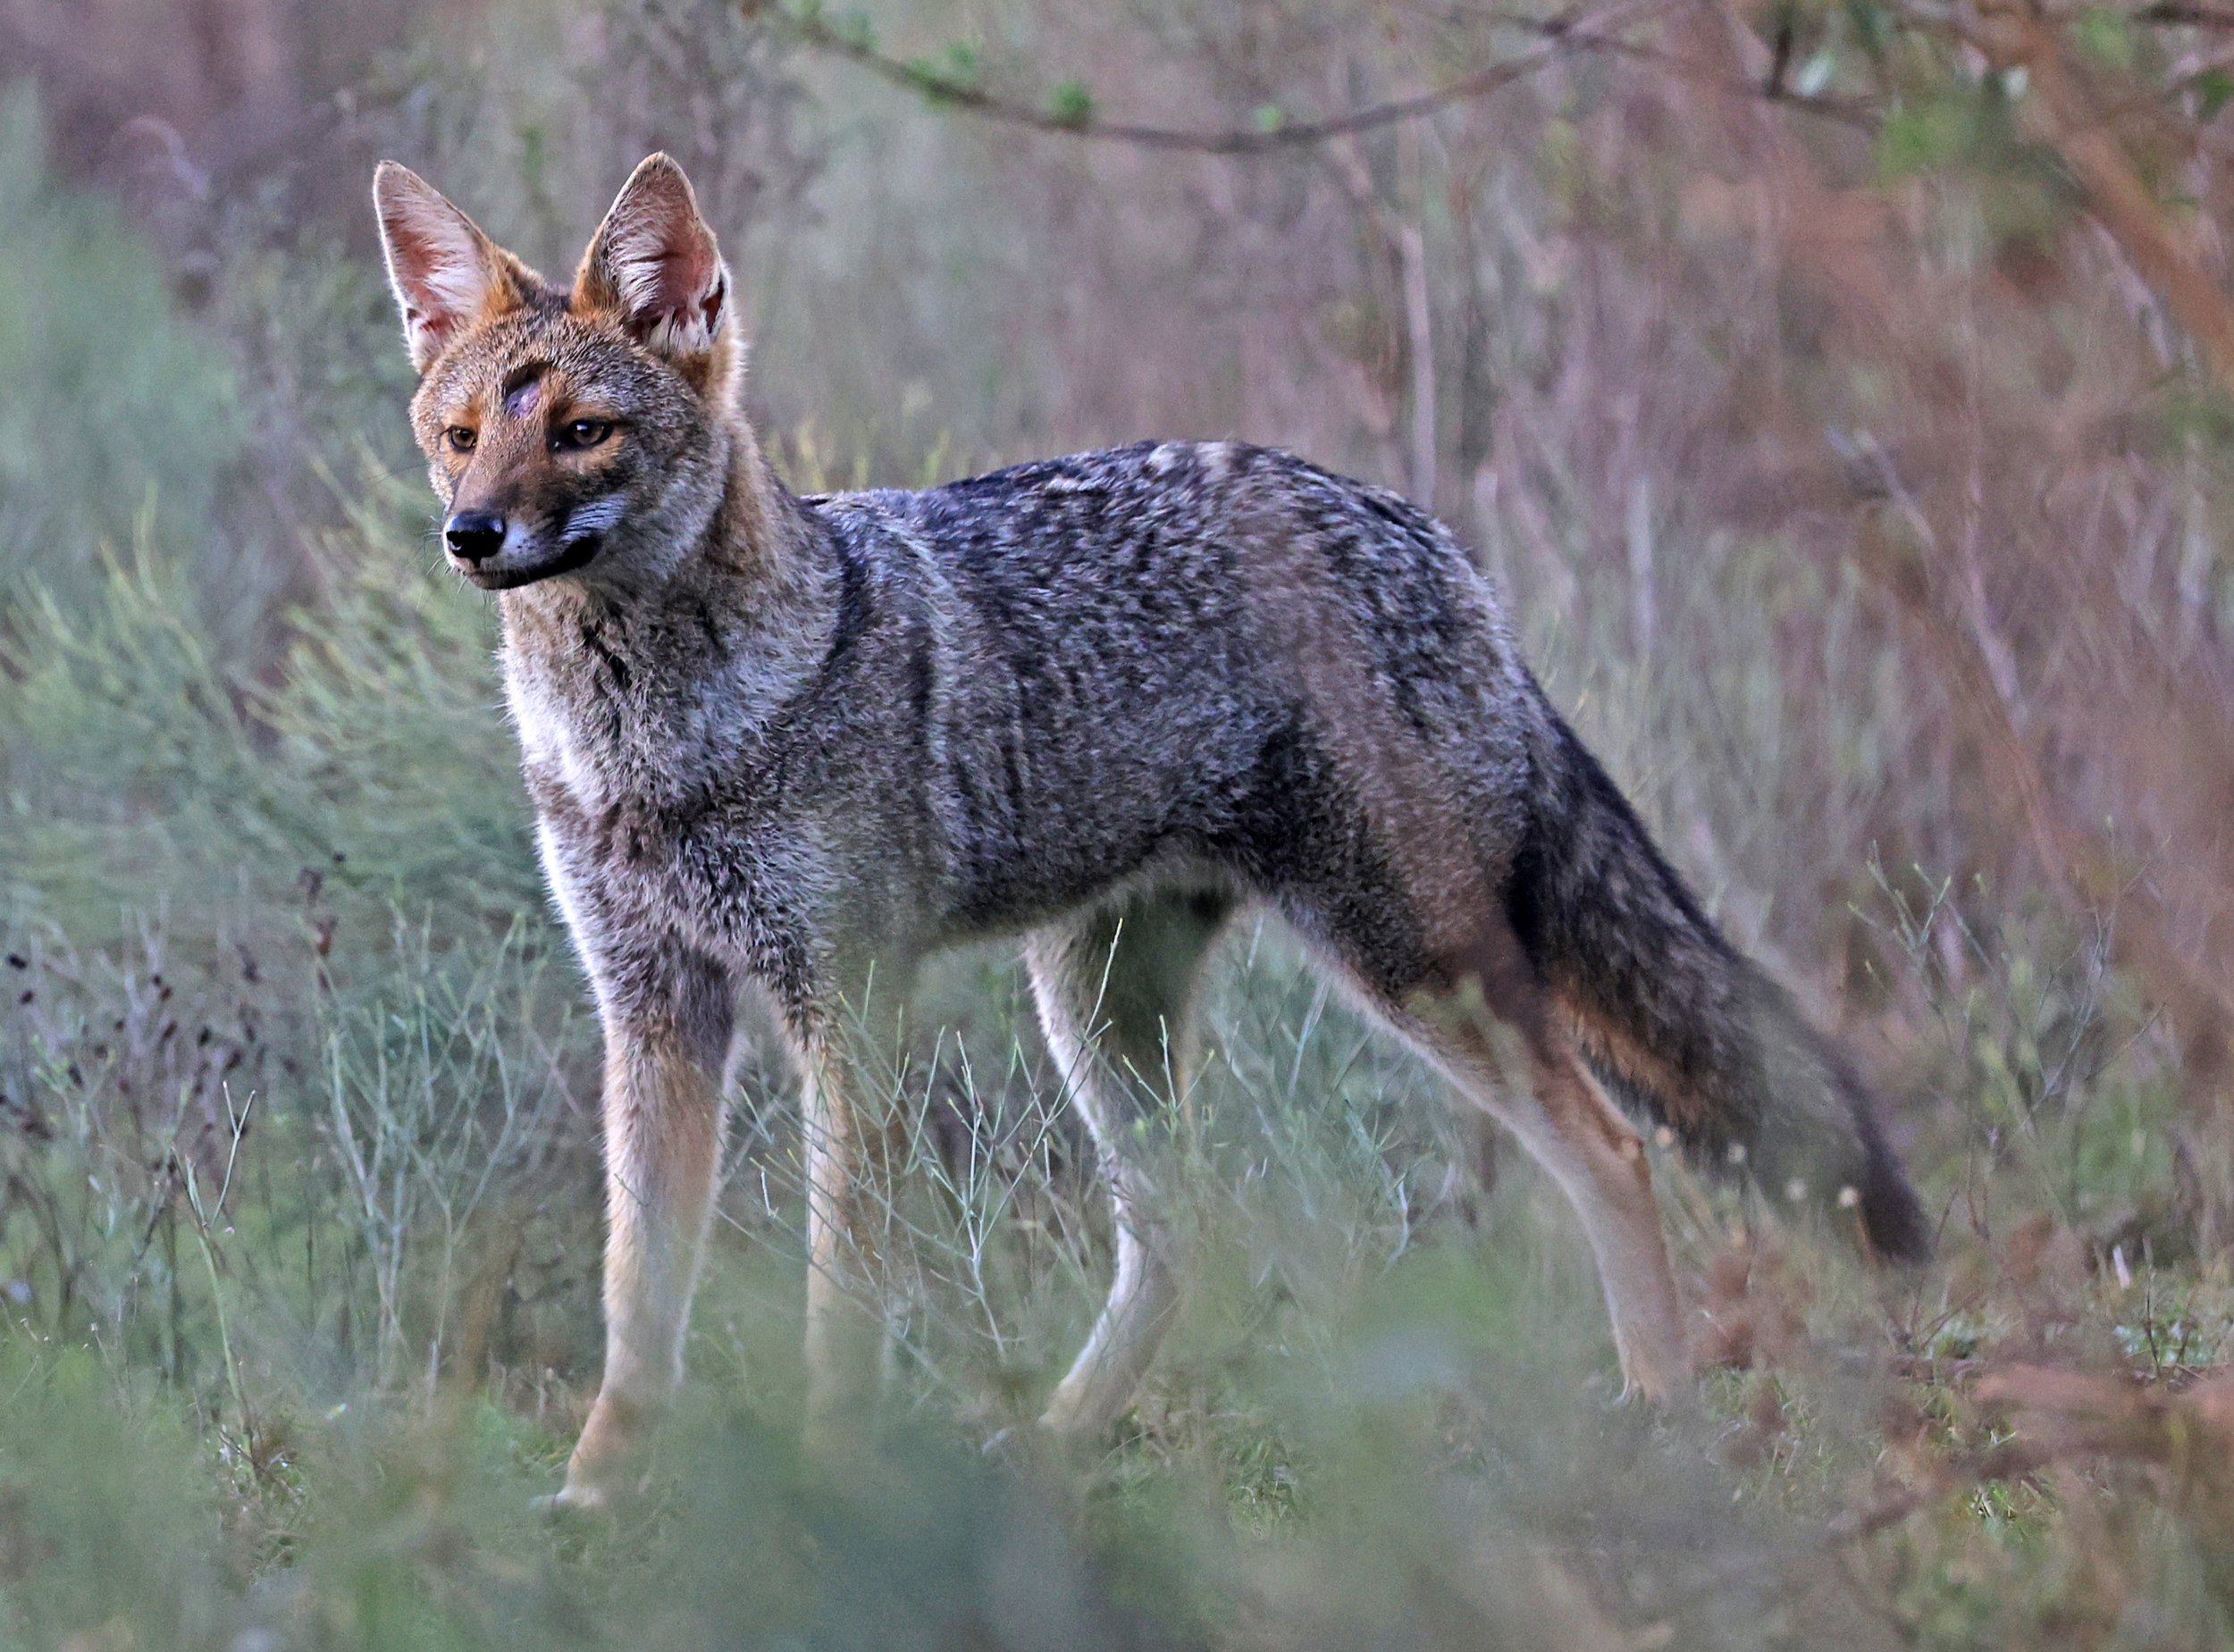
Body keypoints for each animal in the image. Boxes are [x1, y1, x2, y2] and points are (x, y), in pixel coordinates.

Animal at [373, 152, 1930, 1511]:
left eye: (583, 432)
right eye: (463, 437)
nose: (471, 534)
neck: (653, 753)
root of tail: (1421, 530)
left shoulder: (848, 1006)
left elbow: (841, 1297)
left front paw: (831, 1483)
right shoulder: (654, 1008)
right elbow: (638, 1300)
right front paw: (598, 1494)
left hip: (1409, 968)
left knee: (1612, 1153)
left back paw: (1659, 1415)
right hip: (1098, 1011)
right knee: (1189, 1237)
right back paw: (1056, 1445)